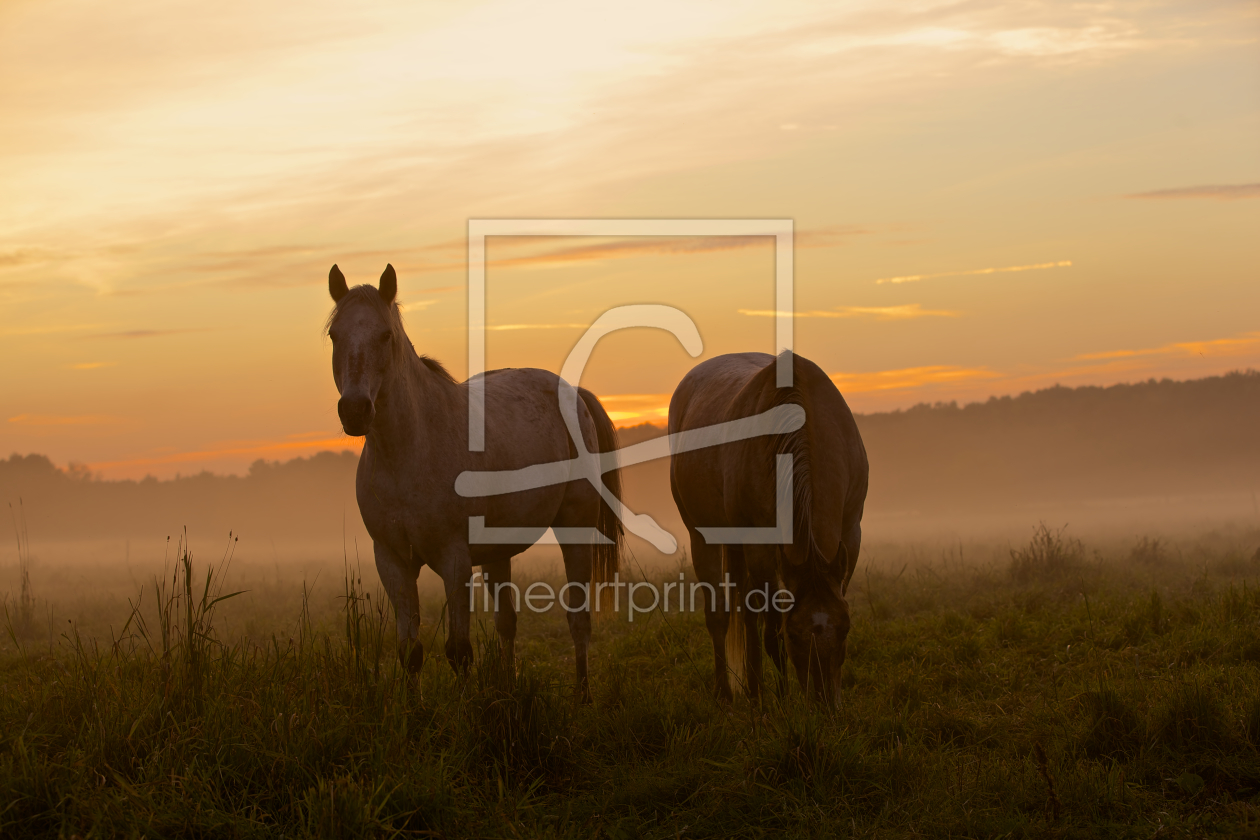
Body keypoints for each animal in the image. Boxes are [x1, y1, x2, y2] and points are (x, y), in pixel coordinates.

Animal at [670, 352, 866, 705]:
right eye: (795, 634)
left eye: (844, 628)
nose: (825, 703)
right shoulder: (761, 545)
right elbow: (771, 628)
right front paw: (782, 700)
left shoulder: (850, 533)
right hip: (703, 536)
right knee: (721, 614)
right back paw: (729, 692)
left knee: (746, 610)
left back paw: (752, 688)